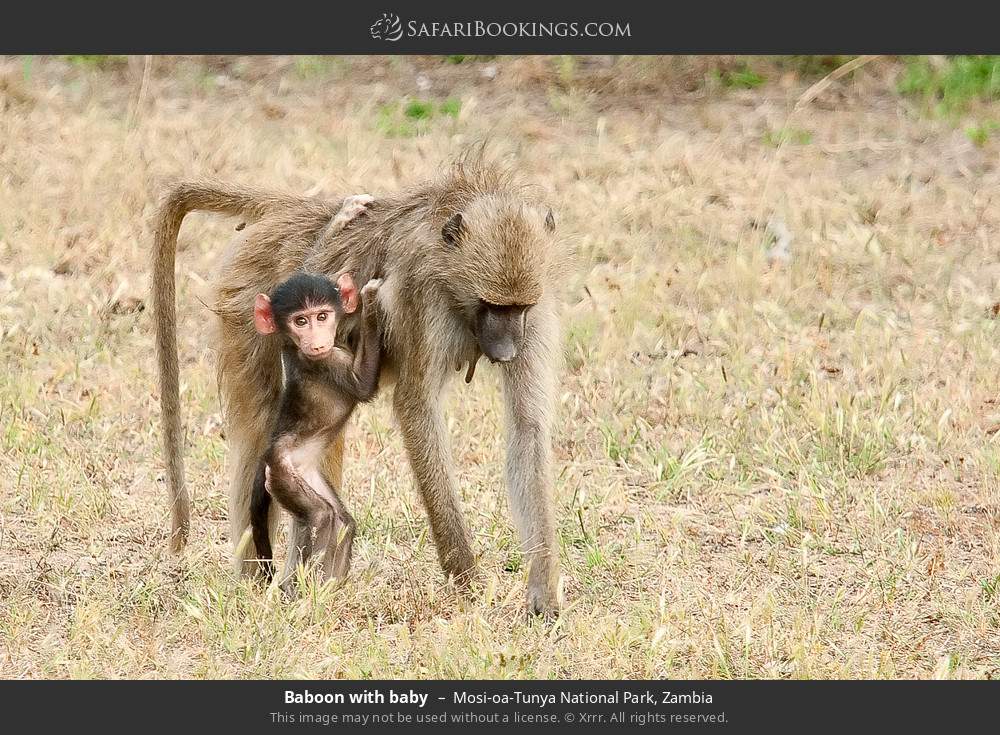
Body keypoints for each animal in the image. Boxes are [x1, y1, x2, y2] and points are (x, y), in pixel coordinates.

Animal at [248, 271, 382, 591]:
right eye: (300, 321)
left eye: (322, 316)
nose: (317, 343)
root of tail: (269, 455)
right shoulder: (326, 362)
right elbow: (363, 384)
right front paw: (370, 300)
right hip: (283, 473)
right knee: (321, 517)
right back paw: (305, 594)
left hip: (306, 475)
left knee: (343, 521)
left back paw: (329, 591)